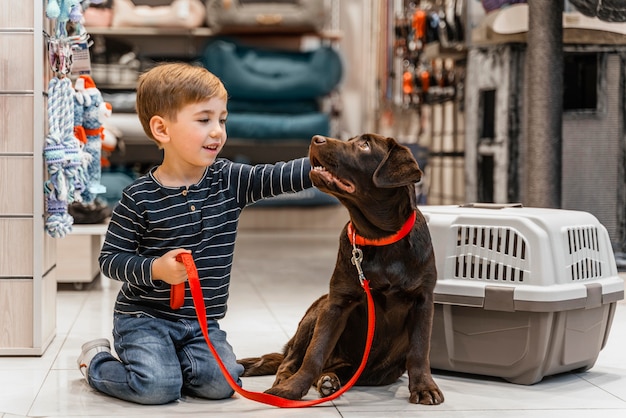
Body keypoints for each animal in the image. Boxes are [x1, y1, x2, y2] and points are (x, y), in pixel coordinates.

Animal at [236, 134, 442, 404]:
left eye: (364, 145)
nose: (316, 139)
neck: (379, 239)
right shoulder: (336, 303)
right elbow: (315, 352)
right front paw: (292, 389)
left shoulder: (422, 300)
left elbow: (419, 350)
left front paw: (424, 387)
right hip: (317, 309)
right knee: (292, 360)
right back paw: (294, 381)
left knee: (332, 369)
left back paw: (328, 381)